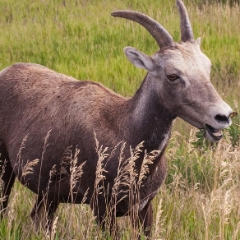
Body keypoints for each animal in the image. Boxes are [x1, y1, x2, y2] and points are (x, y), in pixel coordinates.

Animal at [0, 0, 232, 237]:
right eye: (172, 75)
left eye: (207, 67)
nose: (222, 116)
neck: (126, 129)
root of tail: (6, 71)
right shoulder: (102, 208)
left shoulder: (143, 208)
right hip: (5, 170)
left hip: (48, 195)